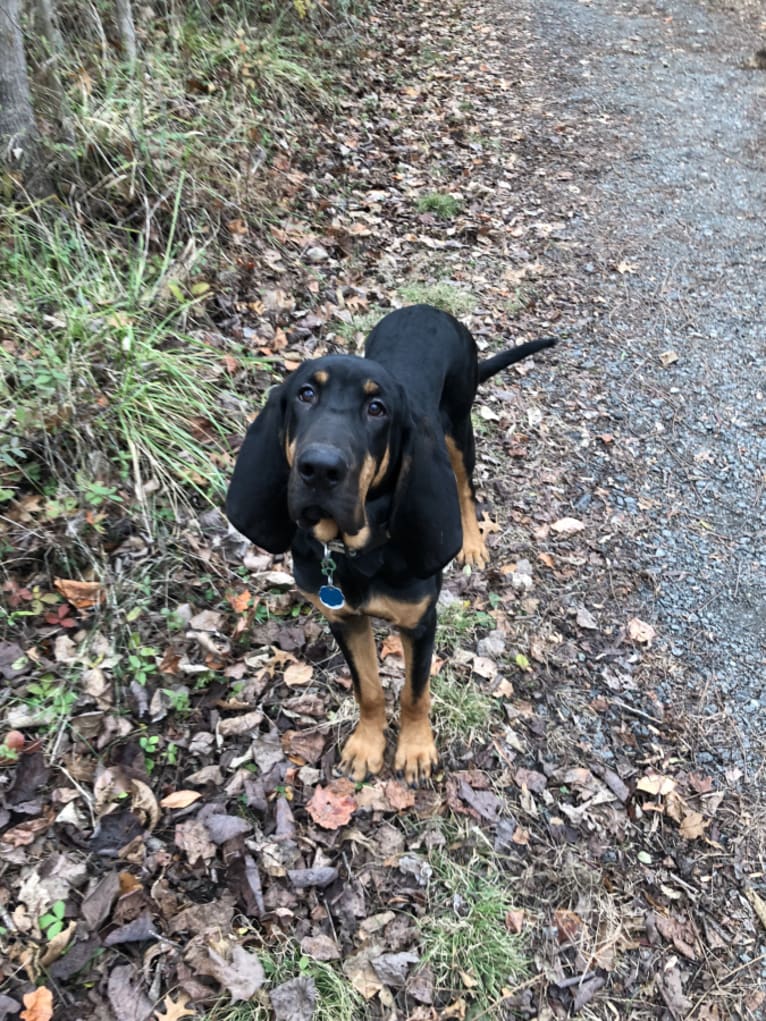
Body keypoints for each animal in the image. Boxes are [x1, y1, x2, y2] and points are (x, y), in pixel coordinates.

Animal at [224, 300, 555, 780]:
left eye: (377, 408)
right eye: (305, 395)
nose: (319, 469)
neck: (354, 552)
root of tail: (429, 307)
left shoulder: (419, 622)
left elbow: (414, 692)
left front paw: (415, 750)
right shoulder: (344, 619)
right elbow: (369, 689)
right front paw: (367, 745)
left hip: (459, 426)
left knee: (464, 487)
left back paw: (472, 542)